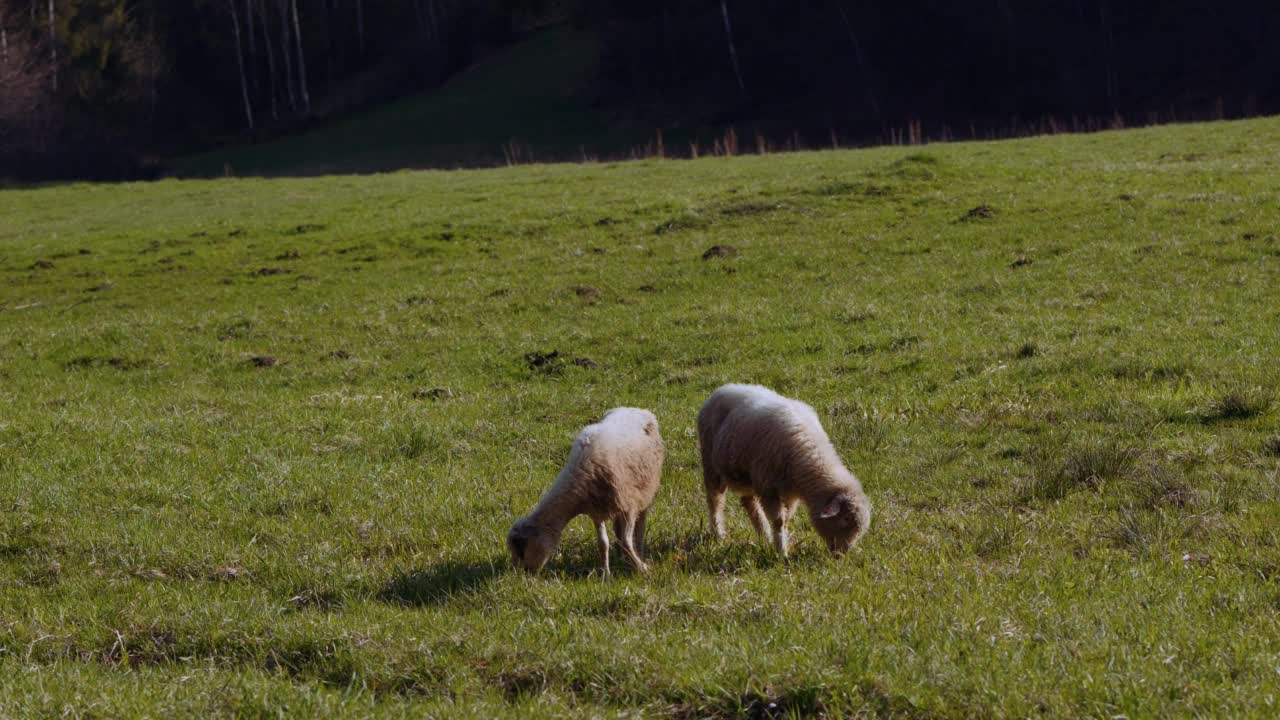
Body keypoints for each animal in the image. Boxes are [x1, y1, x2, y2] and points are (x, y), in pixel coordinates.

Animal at [504, 407, 665, 573]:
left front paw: (642, 567)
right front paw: (605, 573)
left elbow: (627, 541)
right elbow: (603, 543)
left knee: (640, 525)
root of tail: (636, 409)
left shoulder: (629, 503)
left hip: (646, 488)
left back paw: (639, 552)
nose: (520, 575)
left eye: (521, 551)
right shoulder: (597, 510)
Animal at [701, 381, 870, 556]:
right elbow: (779, 521)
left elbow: (786, 519)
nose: (841, 555)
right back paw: (718, 534)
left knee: (749, 502)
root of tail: (723, 388)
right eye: (845, 519)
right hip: (710, 464)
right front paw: (782, 552)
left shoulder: (790, 494)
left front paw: (779, 544)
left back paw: (764, 536)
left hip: (747, 474)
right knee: (715, 500)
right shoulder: (768, 487)